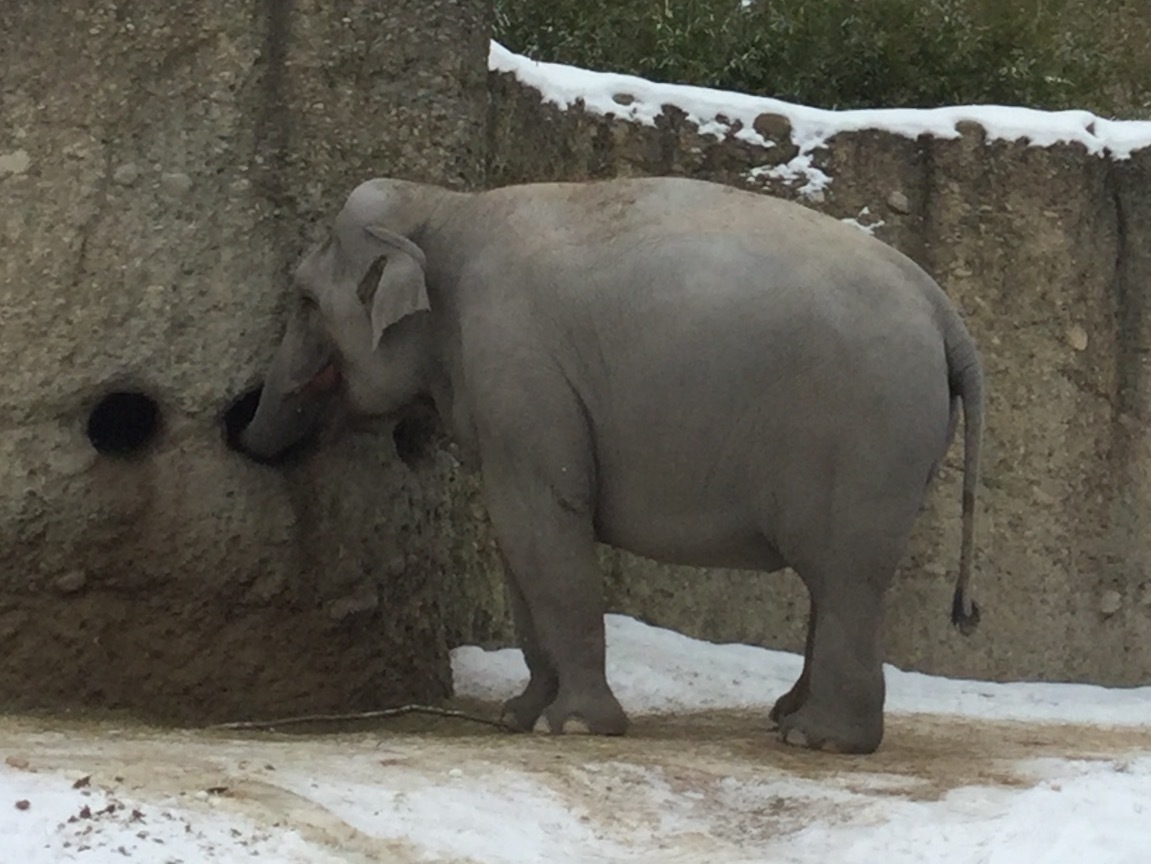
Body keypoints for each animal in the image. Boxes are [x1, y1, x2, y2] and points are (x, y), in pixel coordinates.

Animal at [231, 177, 980, 754]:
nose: (235, 422)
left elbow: (544, 522)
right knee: (833, 578)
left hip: (867, 433)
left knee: (846, 572)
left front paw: (571, 728)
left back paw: (819, 740)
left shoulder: (517, 365)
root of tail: (944, 312)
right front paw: (520, 716)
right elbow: (516, 542)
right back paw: (787, 719)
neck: (445, 207)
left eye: (303, 300)